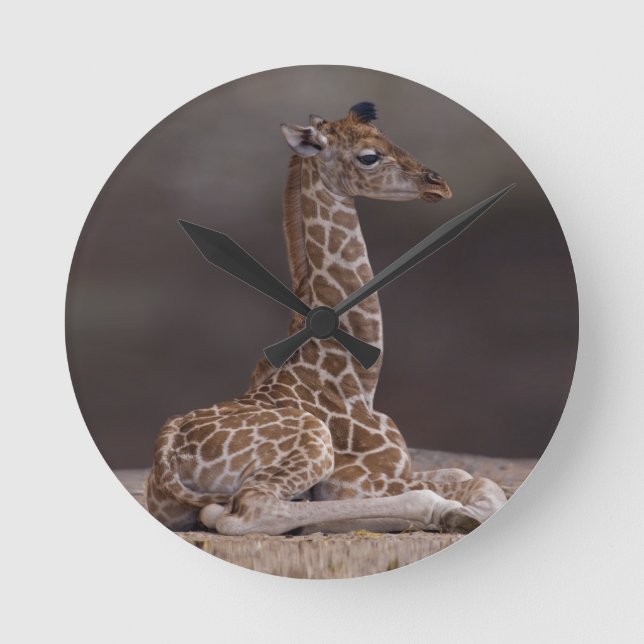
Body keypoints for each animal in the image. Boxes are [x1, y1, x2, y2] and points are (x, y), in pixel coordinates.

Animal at [145, 102, 507, 536]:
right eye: (369, 156)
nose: (438, 183)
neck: (359, 380)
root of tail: (165, 457)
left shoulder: (398, 469)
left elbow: (467, 475)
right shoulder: (355, 479)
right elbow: (481, 483)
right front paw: (457, 511)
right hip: (313, 442)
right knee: (251, 509)